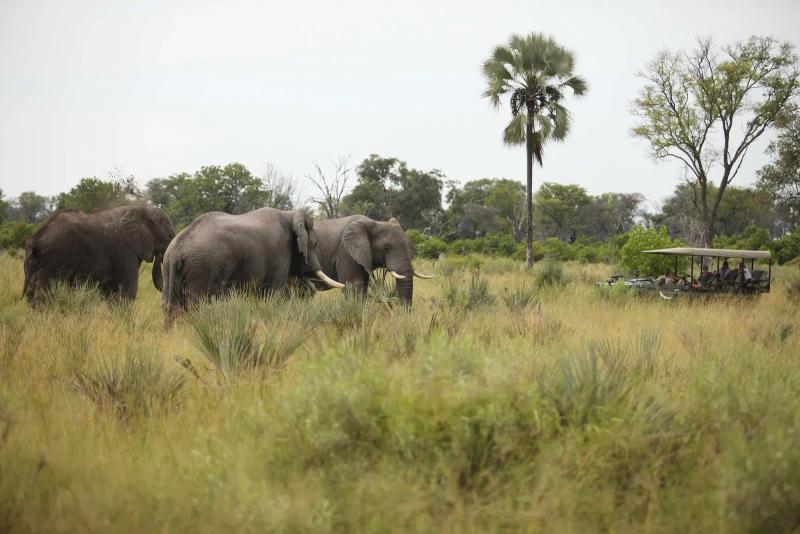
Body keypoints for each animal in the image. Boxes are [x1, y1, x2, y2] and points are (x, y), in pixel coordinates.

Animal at [23, 205, 176, 303]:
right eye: (169, 236)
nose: (161, 256)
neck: (141, 210)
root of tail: (34, 240)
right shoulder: (125, 251)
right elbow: (127, 291)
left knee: (31, 295)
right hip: (52, 262)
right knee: (43, 294)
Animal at [161, 207, 343, 321]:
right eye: (315, 244)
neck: (290, 214)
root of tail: (177, 249)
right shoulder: (280, 252)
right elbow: (272, 294)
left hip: (169, 270)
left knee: (170, 307)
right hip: (201, 269)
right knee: (196, 306)